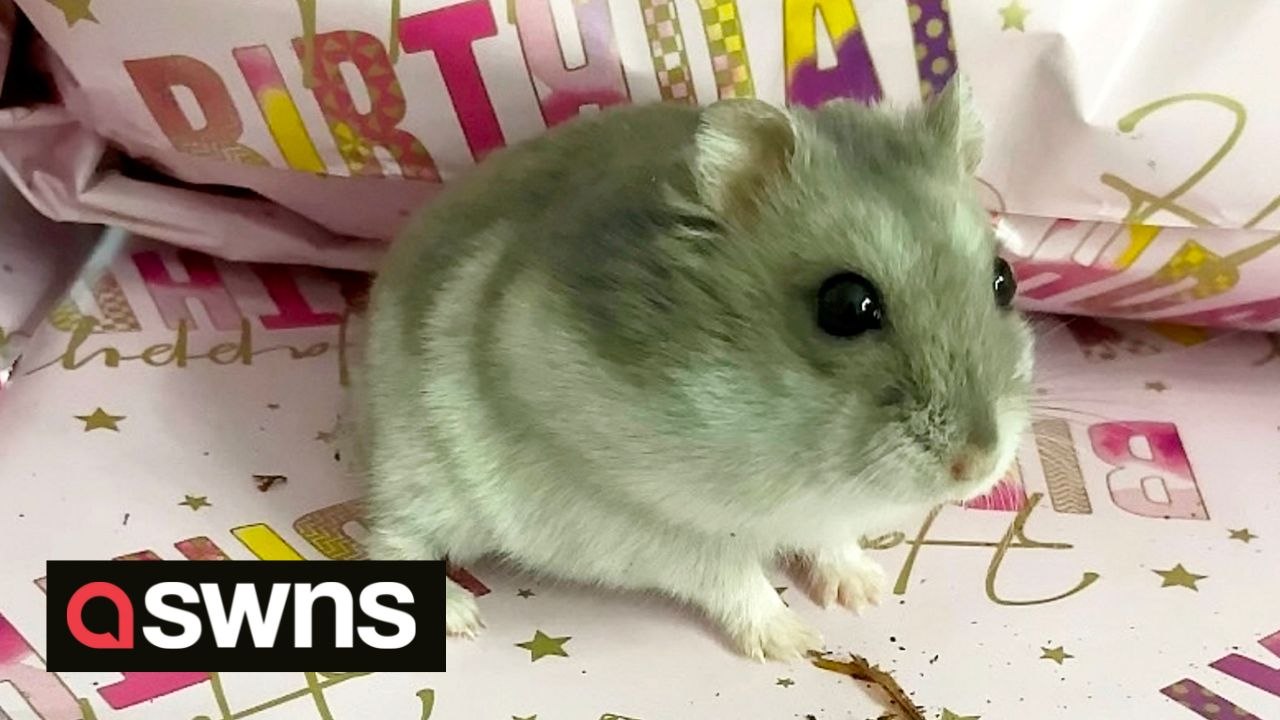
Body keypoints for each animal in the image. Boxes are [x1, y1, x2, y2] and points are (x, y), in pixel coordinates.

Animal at [355, 77, 1033, 661]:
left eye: (1005, 279)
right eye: (846, 305)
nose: (977, 466)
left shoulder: (825, 517)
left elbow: (831, 544)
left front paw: (864, 594)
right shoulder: (652, 521)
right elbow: (736, 581)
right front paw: (796, 643)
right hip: (424, 471)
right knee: (388, 537)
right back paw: (460, 617)